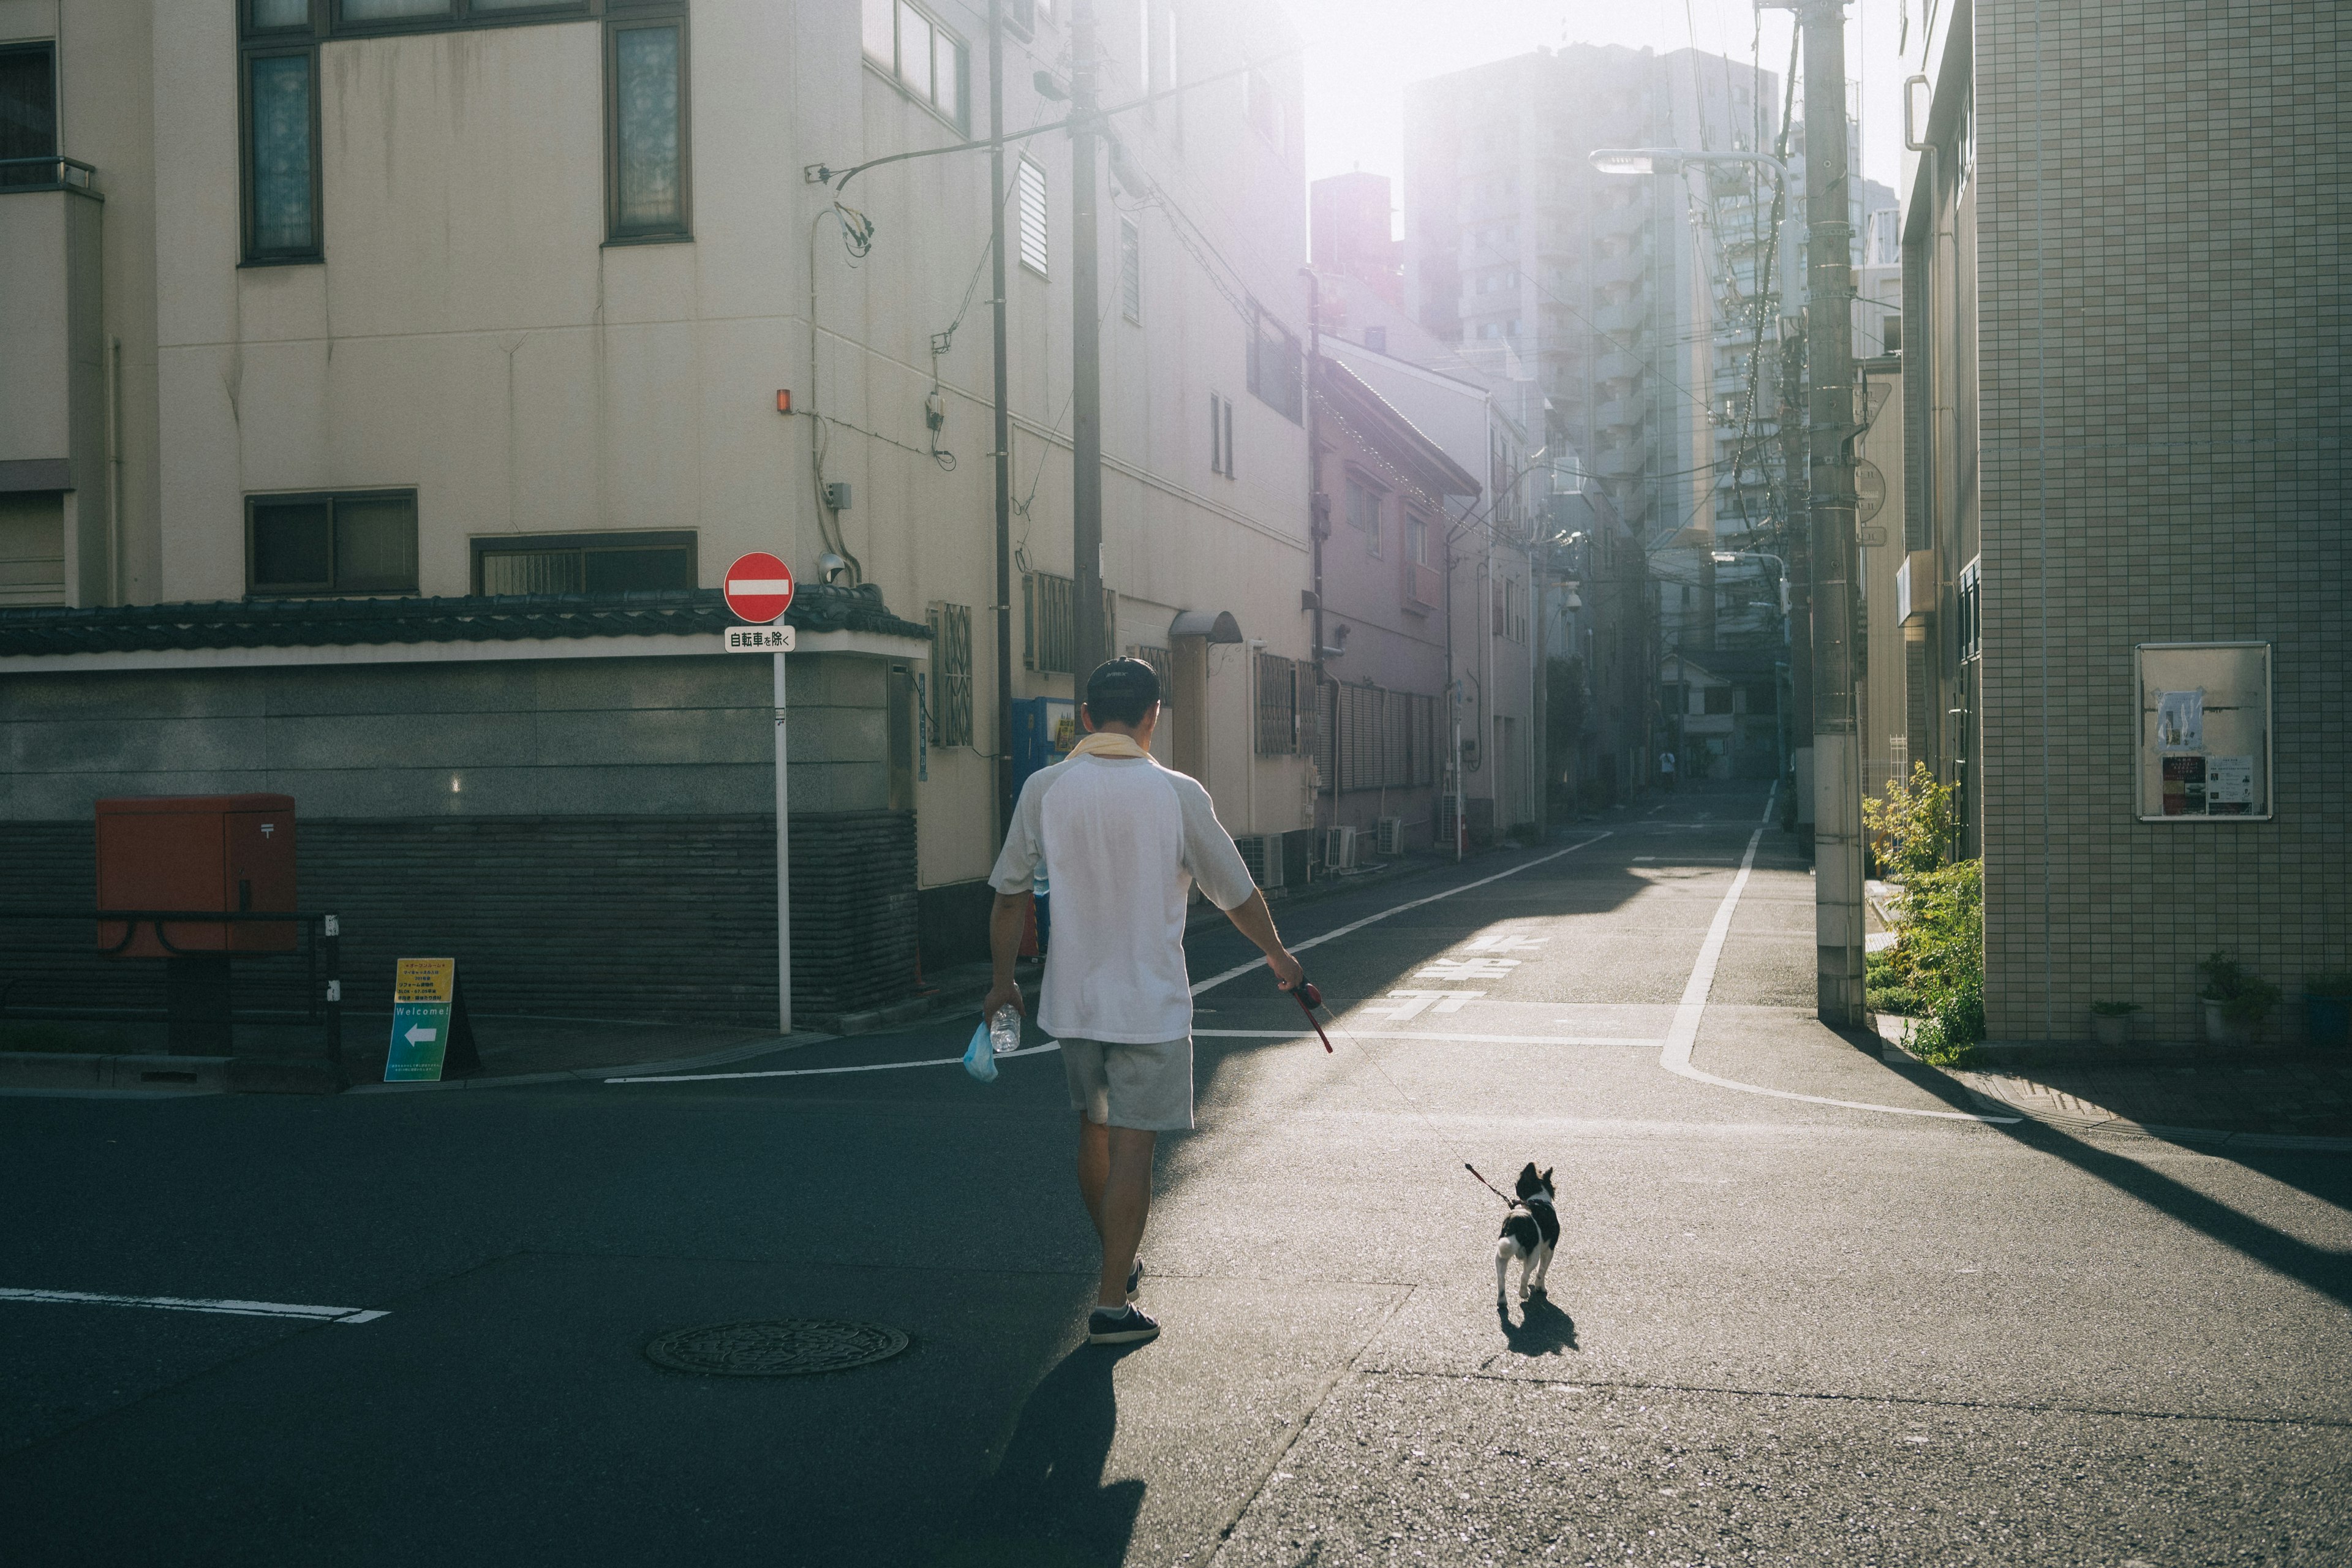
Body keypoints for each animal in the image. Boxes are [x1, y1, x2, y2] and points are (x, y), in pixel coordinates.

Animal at [1486, 1161, 1561, 1306]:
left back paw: (1502, 1301)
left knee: (1501, 1278)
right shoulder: (1549, 1250)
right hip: (1533, 1255)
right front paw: (1540, 1288)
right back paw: (1523, 1293)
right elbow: (1542, 1271)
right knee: (1525, 1275)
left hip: (1501, 1255)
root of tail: (1517, 1222)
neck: (1538, 1198)